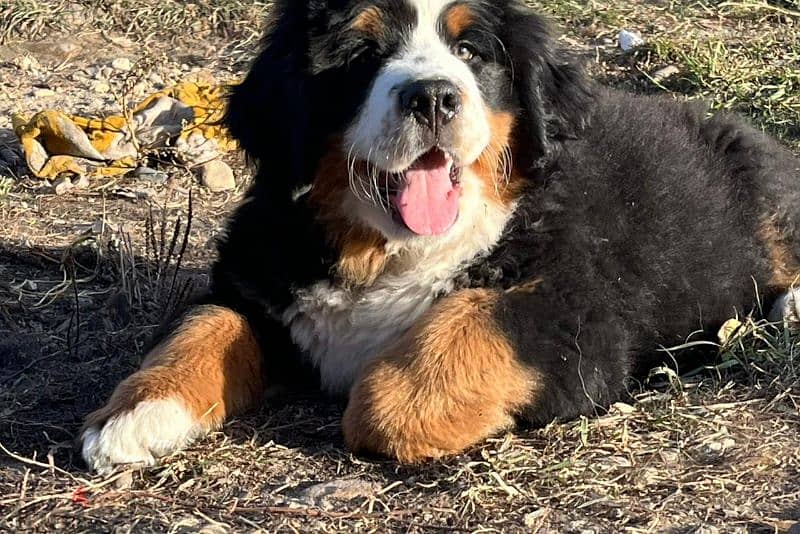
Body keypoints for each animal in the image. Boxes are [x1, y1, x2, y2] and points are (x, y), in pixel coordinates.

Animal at [79, 1, 800, 478]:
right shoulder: (257, 271)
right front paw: (136, 413)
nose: (432, 97)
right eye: (362, 55)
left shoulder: (575, 309)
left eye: (472, 52)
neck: (384, 250)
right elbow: (203, 325)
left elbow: (419, 368)